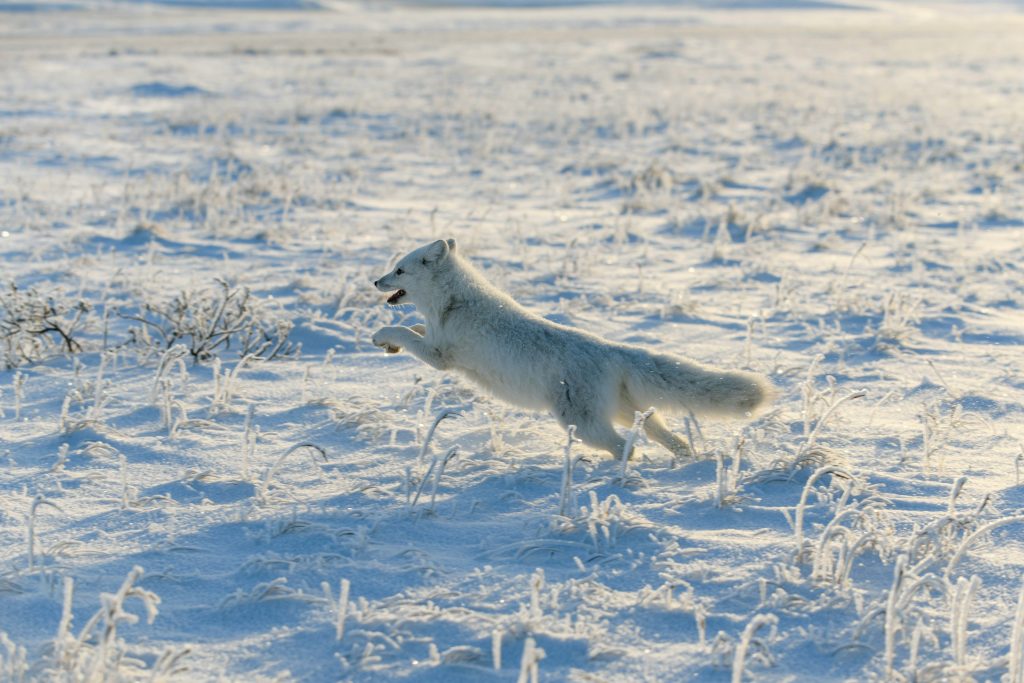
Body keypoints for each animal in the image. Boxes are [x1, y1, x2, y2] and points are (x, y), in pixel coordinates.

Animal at [372, 239, 770, 458]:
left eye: (399, 270)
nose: (375, 281)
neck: (453, 302)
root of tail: (612, 349)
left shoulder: (441, 357)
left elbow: (404, 329)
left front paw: (381, 336)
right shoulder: (434, 340)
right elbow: (414, 328)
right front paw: (390, 345)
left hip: (581, 423)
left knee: (627, 446)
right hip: (622, 410)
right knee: (660, 432)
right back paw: (686, 458)